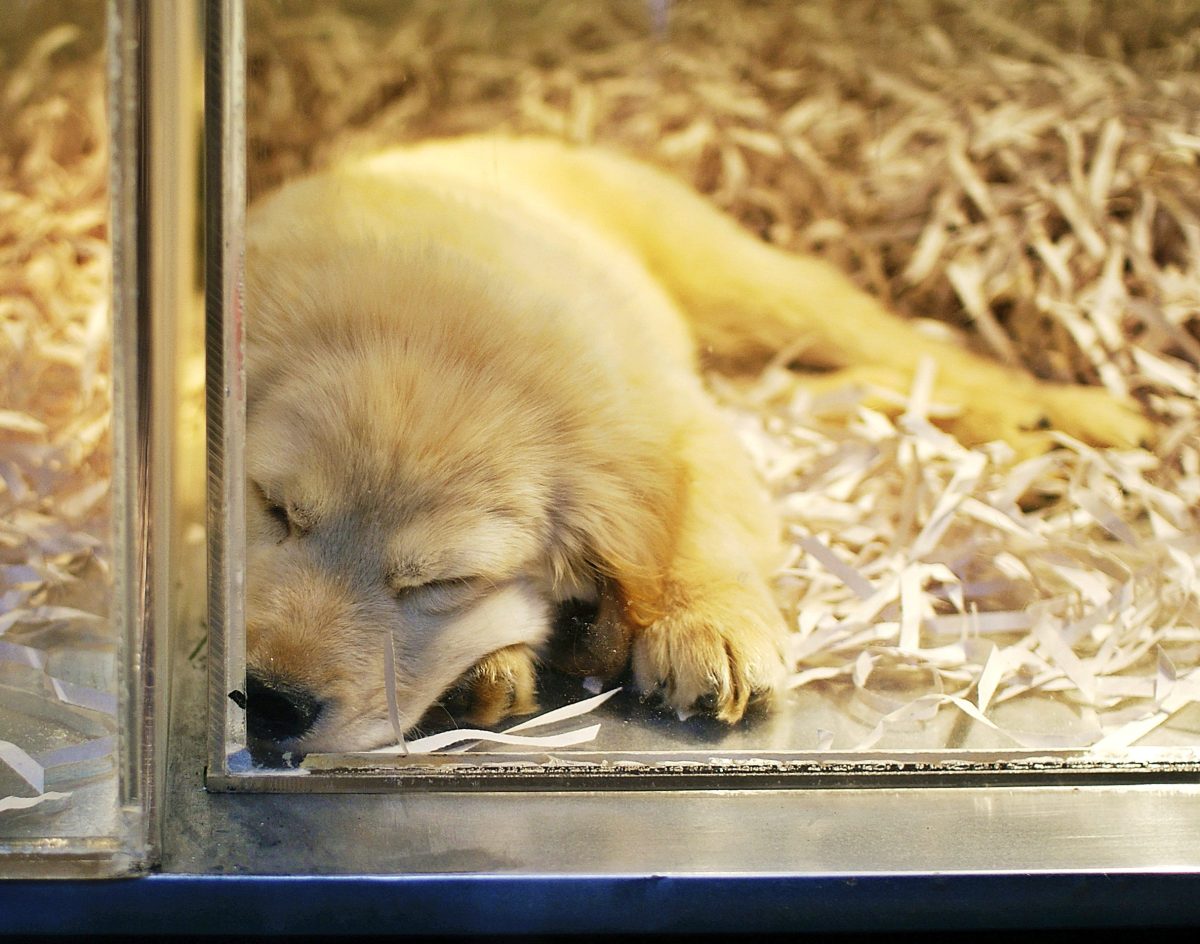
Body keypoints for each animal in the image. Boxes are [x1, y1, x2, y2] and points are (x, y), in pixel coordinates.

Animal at [238, 134, 1147, 753]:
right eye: (273, 510)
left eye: (445, 582)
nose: (270, 702)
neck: (436, 328)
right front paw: (483, 671)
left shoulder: (673, 424)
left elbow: (692, 514)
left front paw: (708, 623)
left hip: (751, 288)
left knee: (906, 349)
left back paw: (1074, 414)